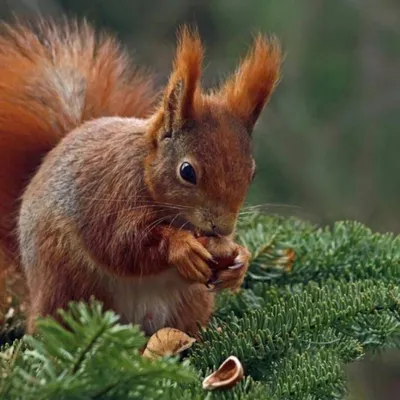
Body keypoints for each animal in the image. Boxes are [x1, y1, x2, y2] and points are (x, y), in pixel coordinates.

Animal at [0, 19, 282, 338]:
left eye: (252, 172)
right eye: (187, 172)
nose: (222, 228)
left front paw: (240, 260)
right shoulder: (111, 195)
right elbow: (123, 245)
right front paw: (181, 248)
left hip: (191, 301)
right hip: (66, 284)